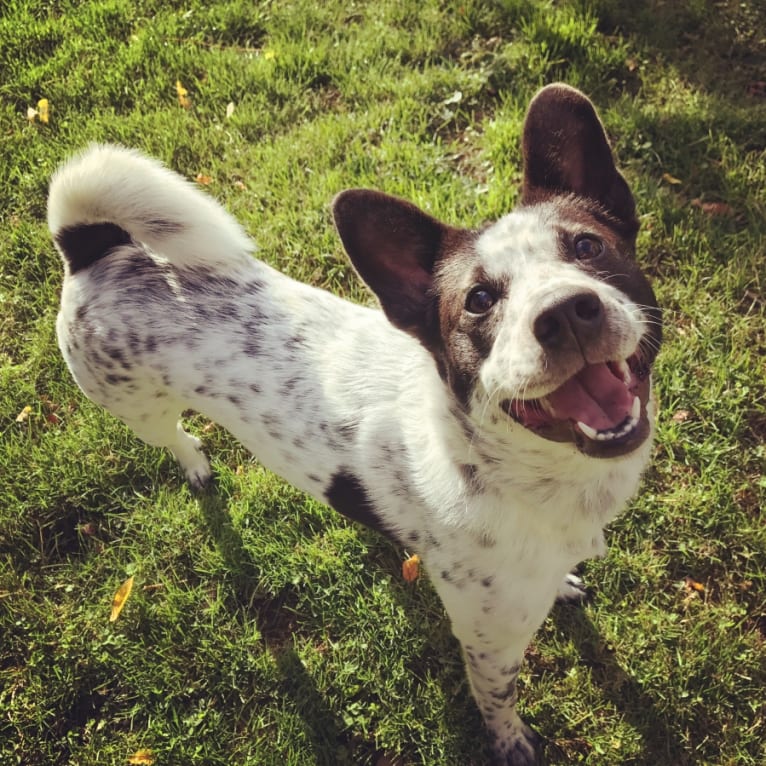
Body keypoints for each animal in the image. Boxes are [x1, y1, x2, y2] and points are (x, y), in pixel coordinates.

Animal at [48, 85, 660, 766]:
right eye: (478, 301)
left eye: (587, 247)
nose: (565, 313)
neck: (509, 470)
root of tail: (94, 247)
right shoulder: (490, 641)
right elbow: (497, 701)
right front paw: (511, 742)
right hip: (136, 407)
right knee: (172, 437)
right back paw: (195, 463)